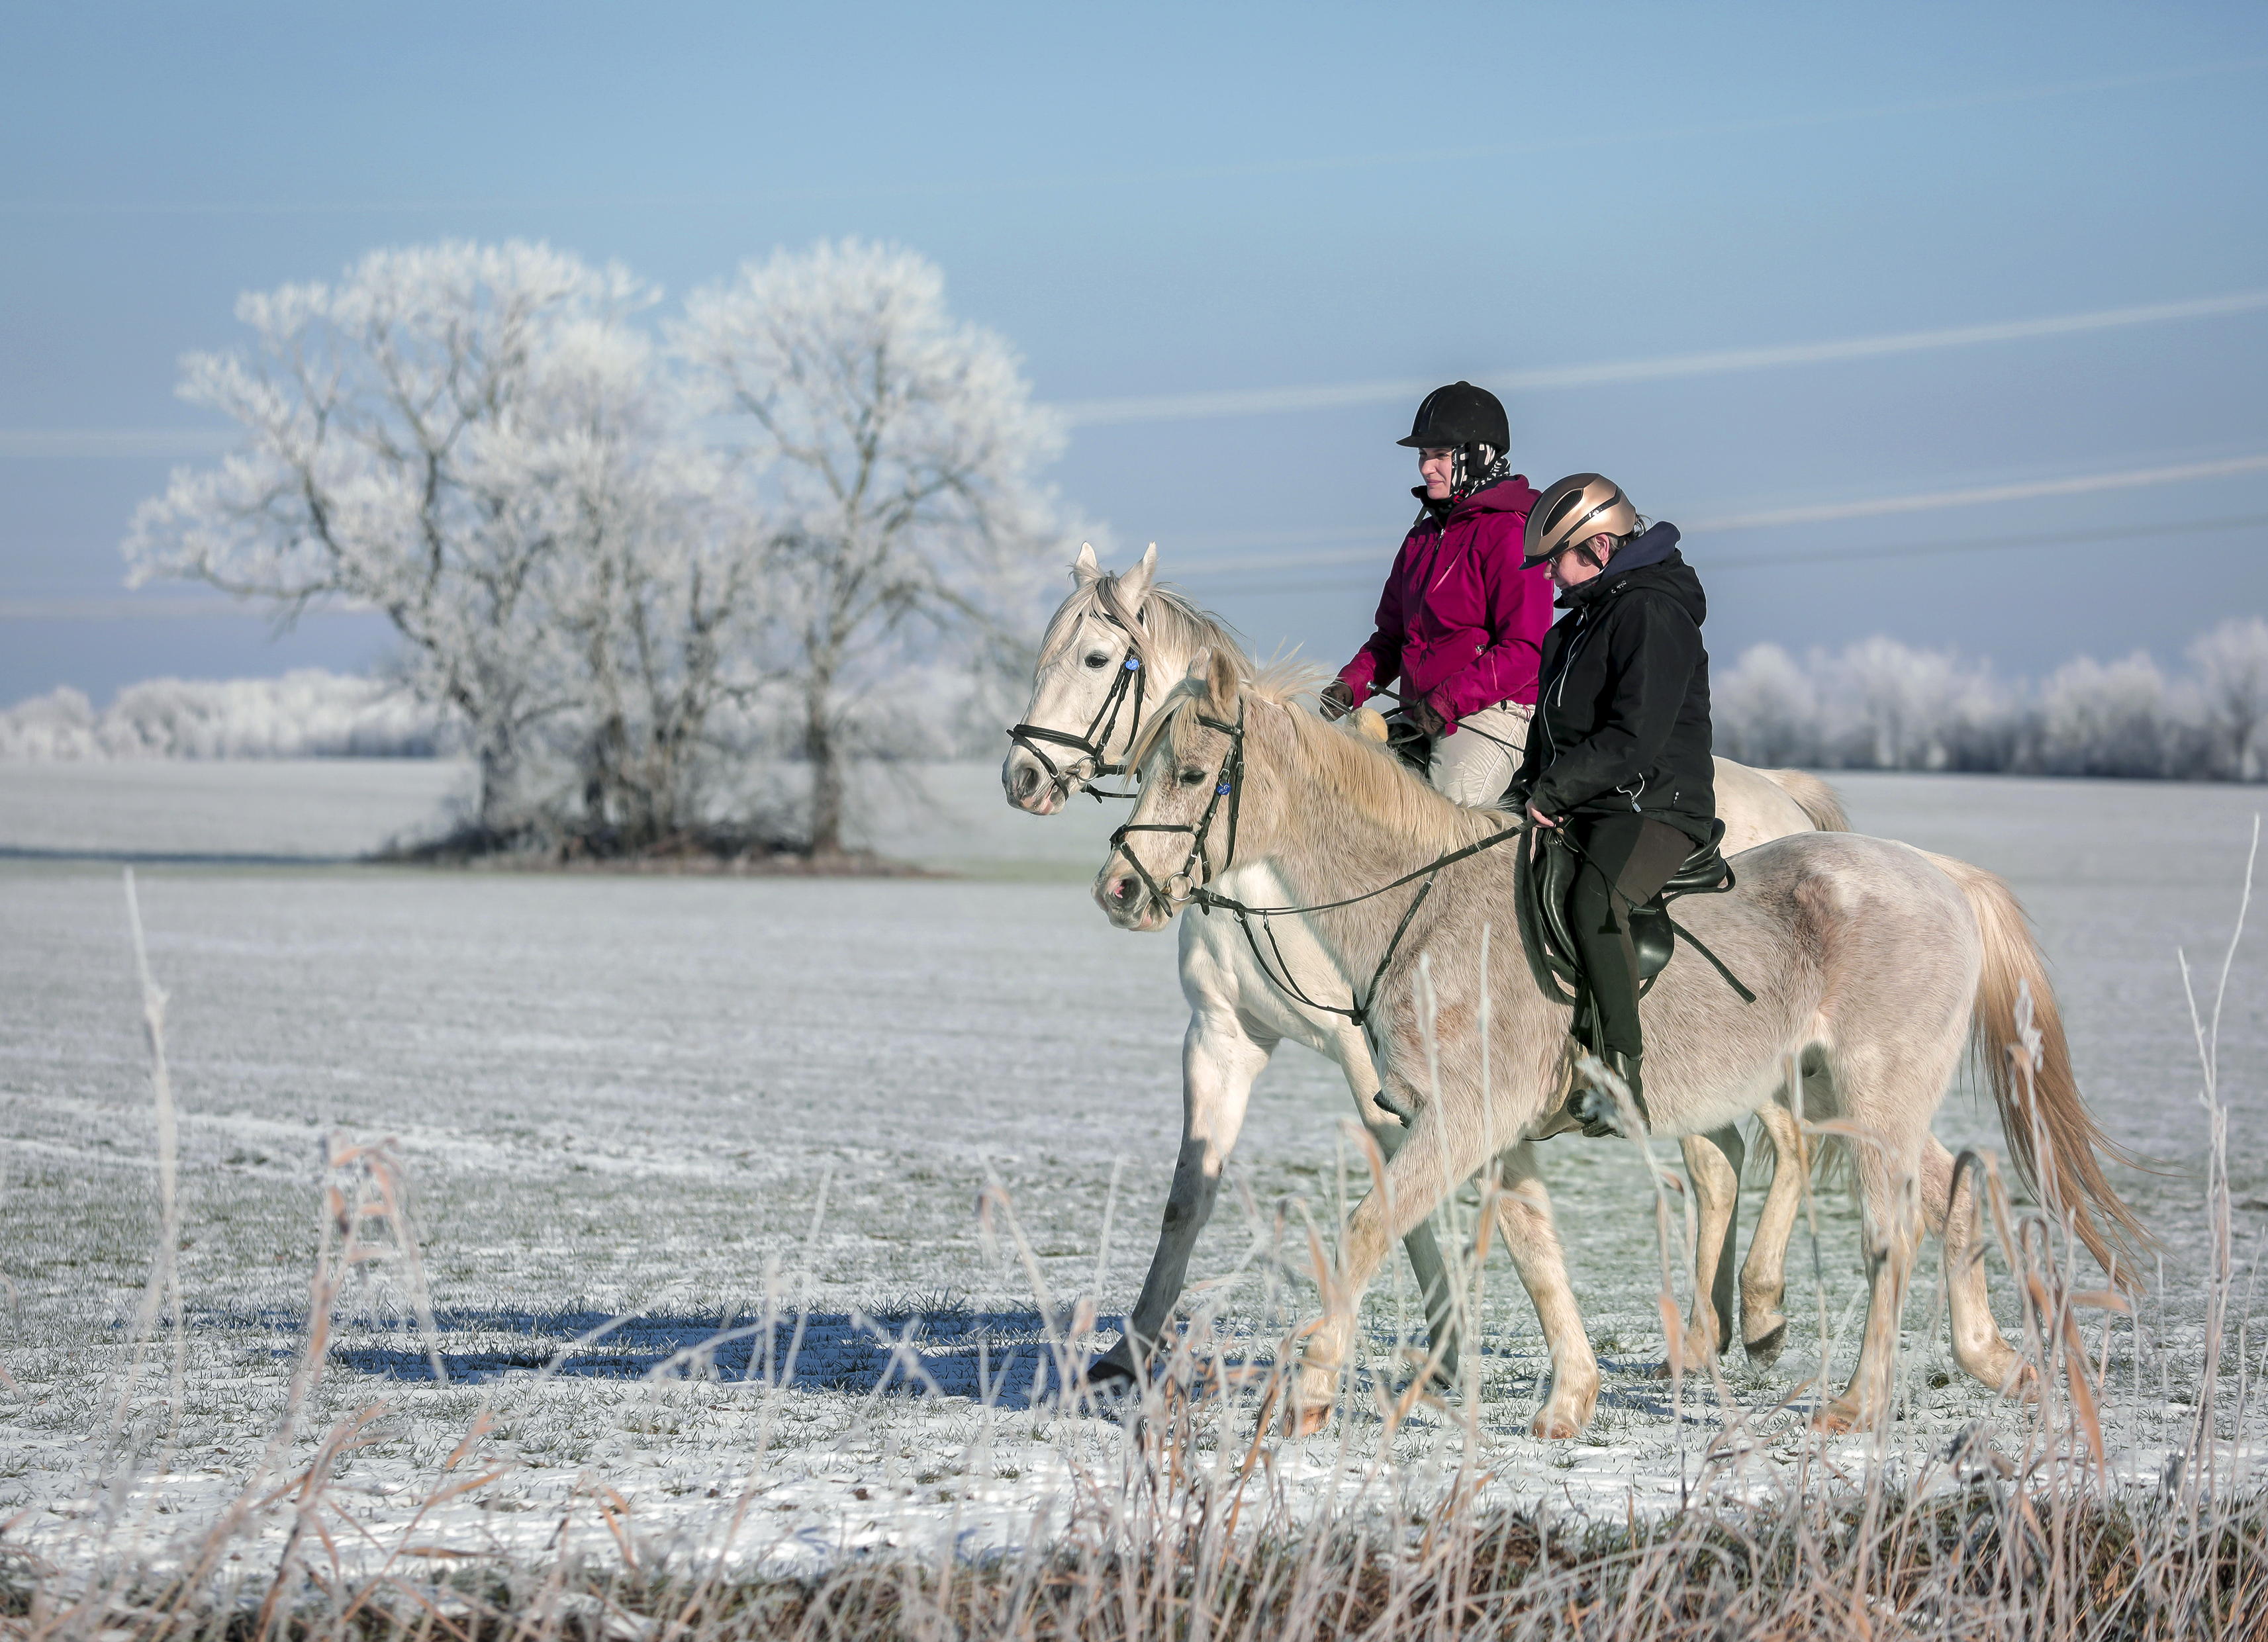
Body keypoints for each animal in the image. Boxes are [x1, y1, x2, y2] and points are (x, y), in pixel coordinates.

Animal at [1011, 549, 1860, 1369]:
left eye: (1095, 658)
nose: (1021, 777)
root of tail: (1778, 794)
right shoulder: (1225, 1037)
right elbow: (1190, 1195)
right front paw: (1128, 1352)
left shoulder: (1375, 1061)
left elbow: (1403, 1195)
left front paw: (1442, 1344)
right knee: (1722, 1160)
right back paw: (1707, 1336)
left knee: (1780, 1146)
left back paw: (1761, 1314)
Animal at [1093, 662, 2141, 1433]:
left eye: (1192, 776)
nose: (1119, 890)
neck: (1424, 902)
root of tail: (1940, 876)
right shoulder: (1489, 1132)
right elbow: (1536, 1254)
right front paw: (1570, 1399)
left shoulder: (1460, 1124)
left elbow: (1366, 1229)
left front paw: (1310, 1385)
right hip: (1848, 1098)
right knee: (1954, 1190)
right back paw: (1990, 1358)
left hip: (1871, 1101)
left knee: (1892, 1233)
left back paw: (1855, 1400)